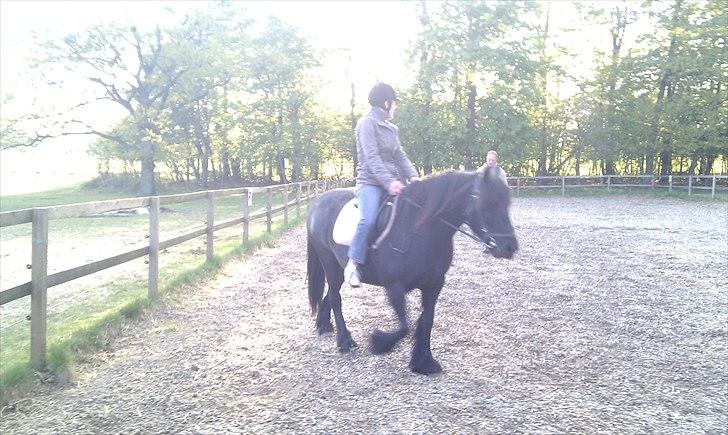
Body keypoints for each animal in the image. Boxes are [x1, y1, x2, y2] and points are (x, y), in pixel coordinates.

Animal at [306, 166, 518, 374]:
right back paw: (344, 342)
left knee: (330, 295)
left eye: (506, 202)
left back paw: (324, 326)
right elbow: (404, 326)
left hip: (340, 268)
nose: (509, 247)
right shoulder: (395, 287)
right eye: (488, 202)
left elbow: (426, 321)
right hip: (330, 264)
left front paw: (424, 362)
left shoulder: (434, 284)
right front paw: (379, 342)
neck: (415, 230)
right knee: (336, 298)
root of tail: (318, 203)